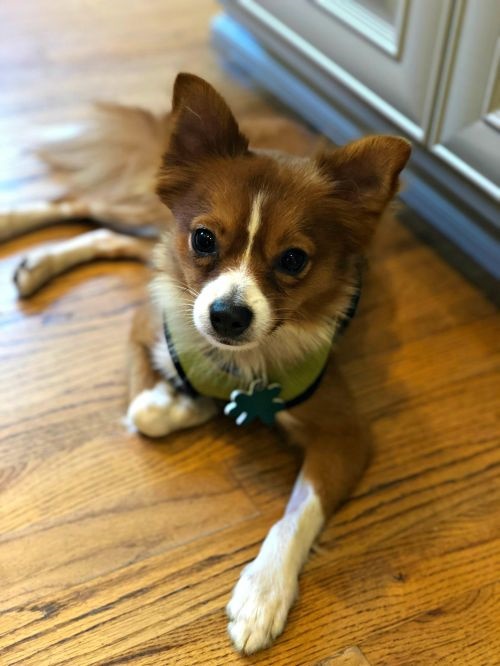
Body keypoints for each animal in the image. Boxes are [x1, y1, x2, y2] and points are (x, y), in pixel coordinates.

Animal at [2, 73, 411, 654]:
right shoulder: (146, 322)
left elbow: (297, 516)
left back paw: (39, 264)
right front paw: (183, 401)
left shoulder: (346, 432)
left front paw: (263, 592)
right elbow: (147, 410)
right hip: (149, 210)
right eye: (204, 239)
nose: (228, 315)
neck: (242, 358)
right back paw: (14, 228)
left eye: (293, 260)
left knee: (109, 234)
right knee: (77, 202)